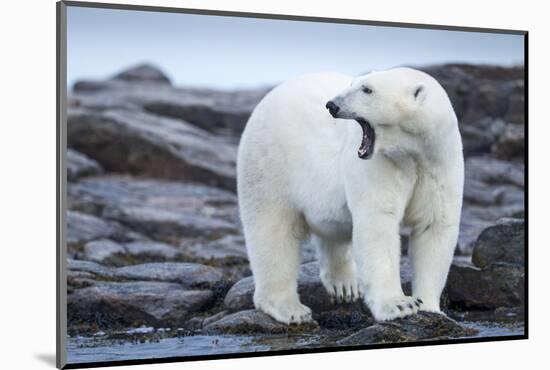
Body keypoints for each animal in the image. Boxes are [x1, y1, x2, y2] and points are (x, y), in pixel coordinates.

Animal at [237, 68, 466, 322]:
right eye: (354, 83)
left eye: (367, 89)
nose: (332, 105)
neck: (412, 152)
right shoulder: (381, 165)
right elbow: (378, 225)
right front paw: (399, 305)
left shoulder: (439, 164)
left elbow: (433, 226)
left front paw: (429, 307)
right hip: (269, 164)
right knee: (272, 231)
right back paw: (290, 308)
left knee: (331, 230)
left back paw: (344, 284)